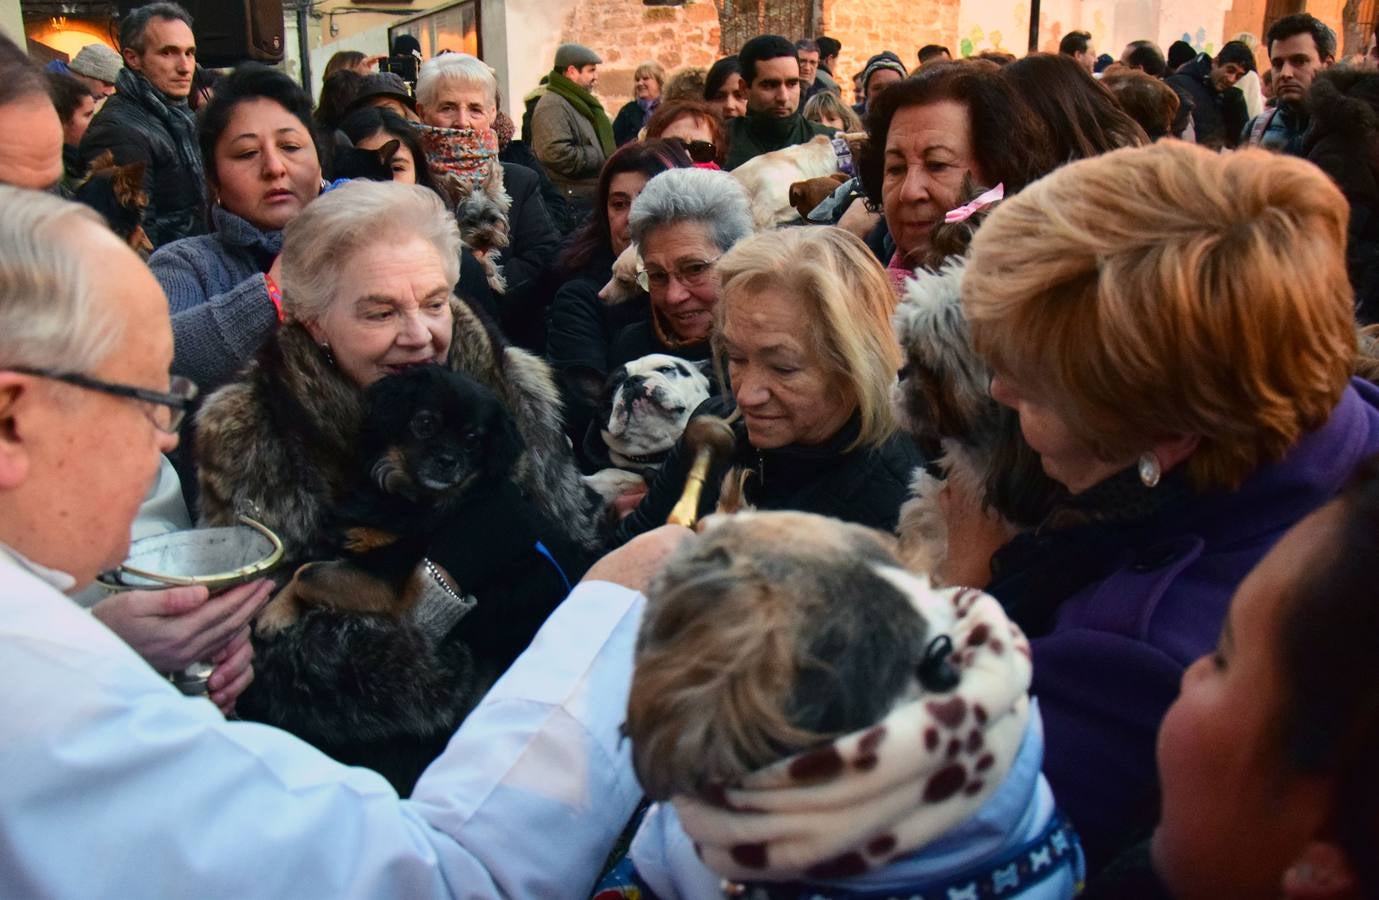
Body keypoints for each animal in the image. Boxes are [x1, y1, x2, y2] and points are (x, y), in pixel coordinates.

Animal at [256, 361, 518, 633]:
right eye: (425, 423)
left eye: (473, 441)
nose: (447, 460)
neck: (410, 498)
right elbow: (304, 567)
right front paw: (279, 609)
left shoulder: (386, 572)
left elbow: (306, 573)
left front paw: (276, 610)